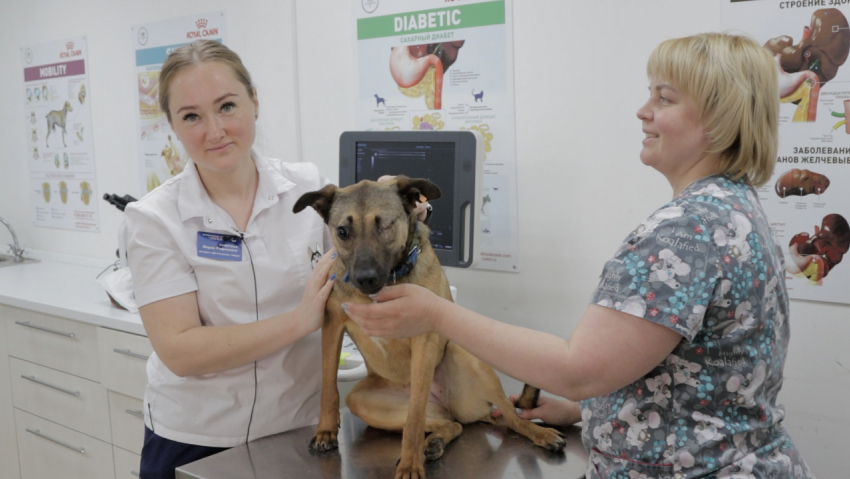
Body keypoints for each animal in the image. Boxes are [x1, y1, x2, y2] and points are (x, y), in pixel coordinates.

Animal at [292, 179, 564, 479]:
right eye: (342, 231)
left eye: (386, 224)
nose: (365, 279)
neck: (390, 282)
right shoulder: (332, 325)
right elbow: (328, 386)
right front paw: (326, 431)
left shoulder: (423, 340)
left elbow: (414, 416)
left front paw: (410, 463)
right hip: (363, 402)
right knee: (451, 424)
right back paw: (434, 442)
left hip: (464, 355)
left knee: (510, 417)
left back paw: (538, 433)